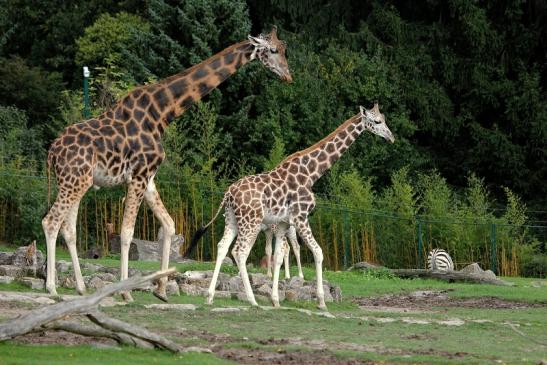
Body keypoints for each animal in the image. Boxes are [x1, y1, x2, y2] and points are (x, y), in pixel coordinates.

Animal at [41, 26, 292, 302]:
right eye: (273, 50)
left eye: (284, 49)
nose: (288, 76)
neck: (163, 113)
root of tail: (52, 152)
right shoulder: (138, 176)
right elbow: (127, 232)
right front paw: (126, 292)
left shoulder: (149, 178)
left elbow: (170, 225)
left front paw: (161, 289)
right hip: (74, 182)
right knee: (50, 221)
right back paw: (51, 287)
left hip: (78, 182)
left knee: (68, 229)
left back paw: (80, 287)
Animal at [188, 104, 394, 308]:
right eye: (377, 121)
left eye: (384, 119)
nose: (391, 137)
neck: (311, 173)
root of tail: (228, 194)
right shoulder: (301, 217)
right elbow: (318, 252)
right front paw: (321, 302)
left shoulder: (283, 223)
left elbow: (279, 256)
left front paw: (276, 300)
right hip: (251, 221)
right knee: (240, 252)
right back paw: (252, 300)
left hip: (232, 219)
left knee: (222, 246)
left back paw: (209, 296)